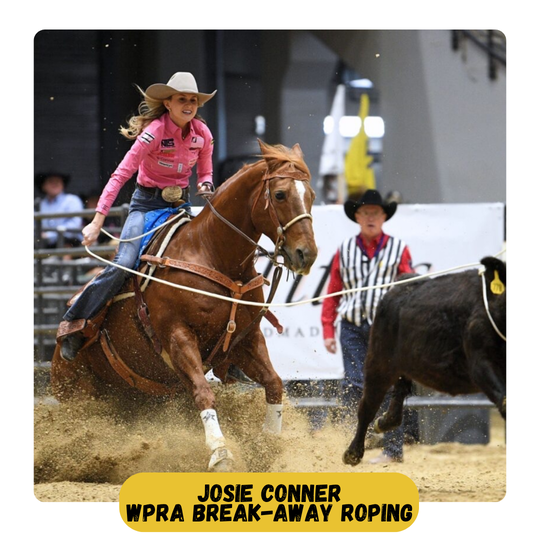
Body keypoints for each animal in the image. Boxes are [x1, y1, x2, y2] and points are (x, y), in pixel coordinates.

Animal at [50, 139, 318, 471]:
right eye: (280, 194)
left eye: (311, 195)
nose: (307, 254)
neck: (212, 253)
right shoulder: (177, 336)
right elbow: (204, 393)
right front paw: (221, 453)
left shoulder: (245, 339)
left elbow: (274, 383)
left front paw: (269, 445)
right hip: (79, 394)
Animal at [343, 256, 506, 466]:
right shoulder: (481, 364)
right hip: (379, 362)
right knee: (367, 407)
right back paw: (353, 452)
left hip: (400, 363)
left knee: (397, 398)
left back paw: (382, 425)